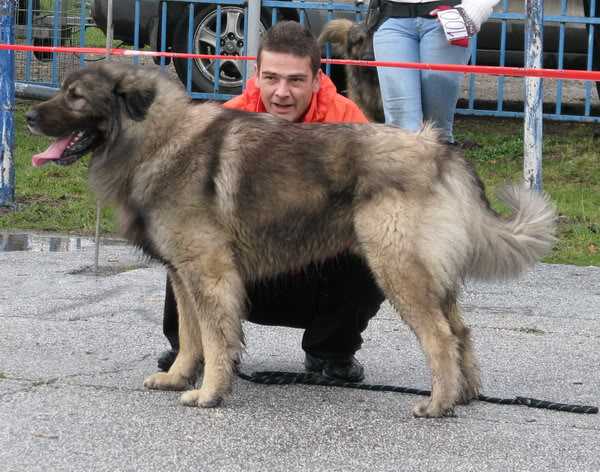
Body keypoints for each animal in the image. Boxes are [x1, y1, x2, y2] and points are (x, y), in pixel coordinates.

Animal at [25, 63, 556, 416]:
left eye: (75, 96)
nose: (29, 117)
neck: (157, 138)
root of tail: (439, 150)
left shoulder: (209, 273)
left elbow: (215, 338)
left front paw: (210, 393)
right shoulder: (183, 275)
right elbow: (192, 338)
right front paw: (178, 377)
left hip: (395, 267)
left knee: (441, 336)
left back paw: (438, 403)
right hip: (424, 274)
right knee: (462, 331)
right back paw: (465, 393)